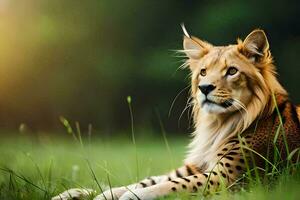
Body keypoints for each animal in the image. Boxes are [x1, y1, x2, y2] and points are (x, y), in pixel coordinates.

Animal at [53, 26, 300, 200]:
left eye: (232, 71)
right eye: (203, 72)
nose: (205, 88)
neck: (216, 124)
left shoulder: (228, 178)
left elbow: (171, 185)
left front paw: (132, 197)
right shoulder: (192, 167)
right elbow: (145, 180)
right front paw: (79, 194)